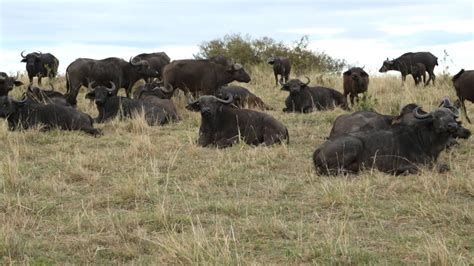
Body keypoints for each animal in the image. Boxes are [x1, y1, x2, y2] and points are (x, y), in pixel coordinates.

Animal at [312, 105, 464, 176]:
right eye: (437, 116)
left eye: (452, 116)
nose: (453, 126)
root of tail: (318, 149)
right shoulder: (406, 165)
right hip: (354, 145)